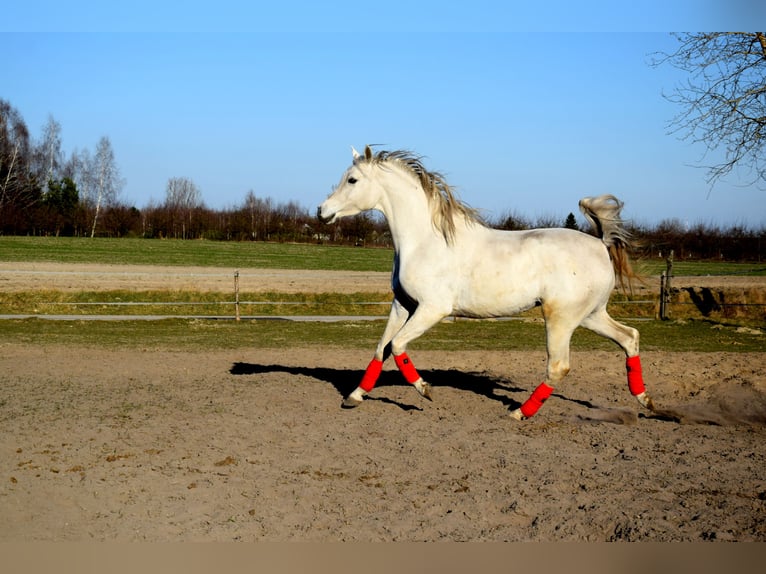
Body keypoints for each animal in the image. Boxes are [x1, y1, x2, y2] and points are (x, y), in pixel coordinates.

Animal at [318, 145, 655, 420]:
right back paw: (646, 401)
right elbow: (381, 349)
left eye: (352, 180)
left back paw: (520, 413)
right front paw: (354, 396)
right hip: (590, 315)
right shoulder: (402, 305)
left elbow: (398, 345)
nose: (322, 211)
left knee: (559, 366)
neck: (425, 240)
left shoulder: (432, 309)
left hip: (562, 318)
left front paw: (425, 389)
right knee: (629, 337)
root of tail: (600, 244)